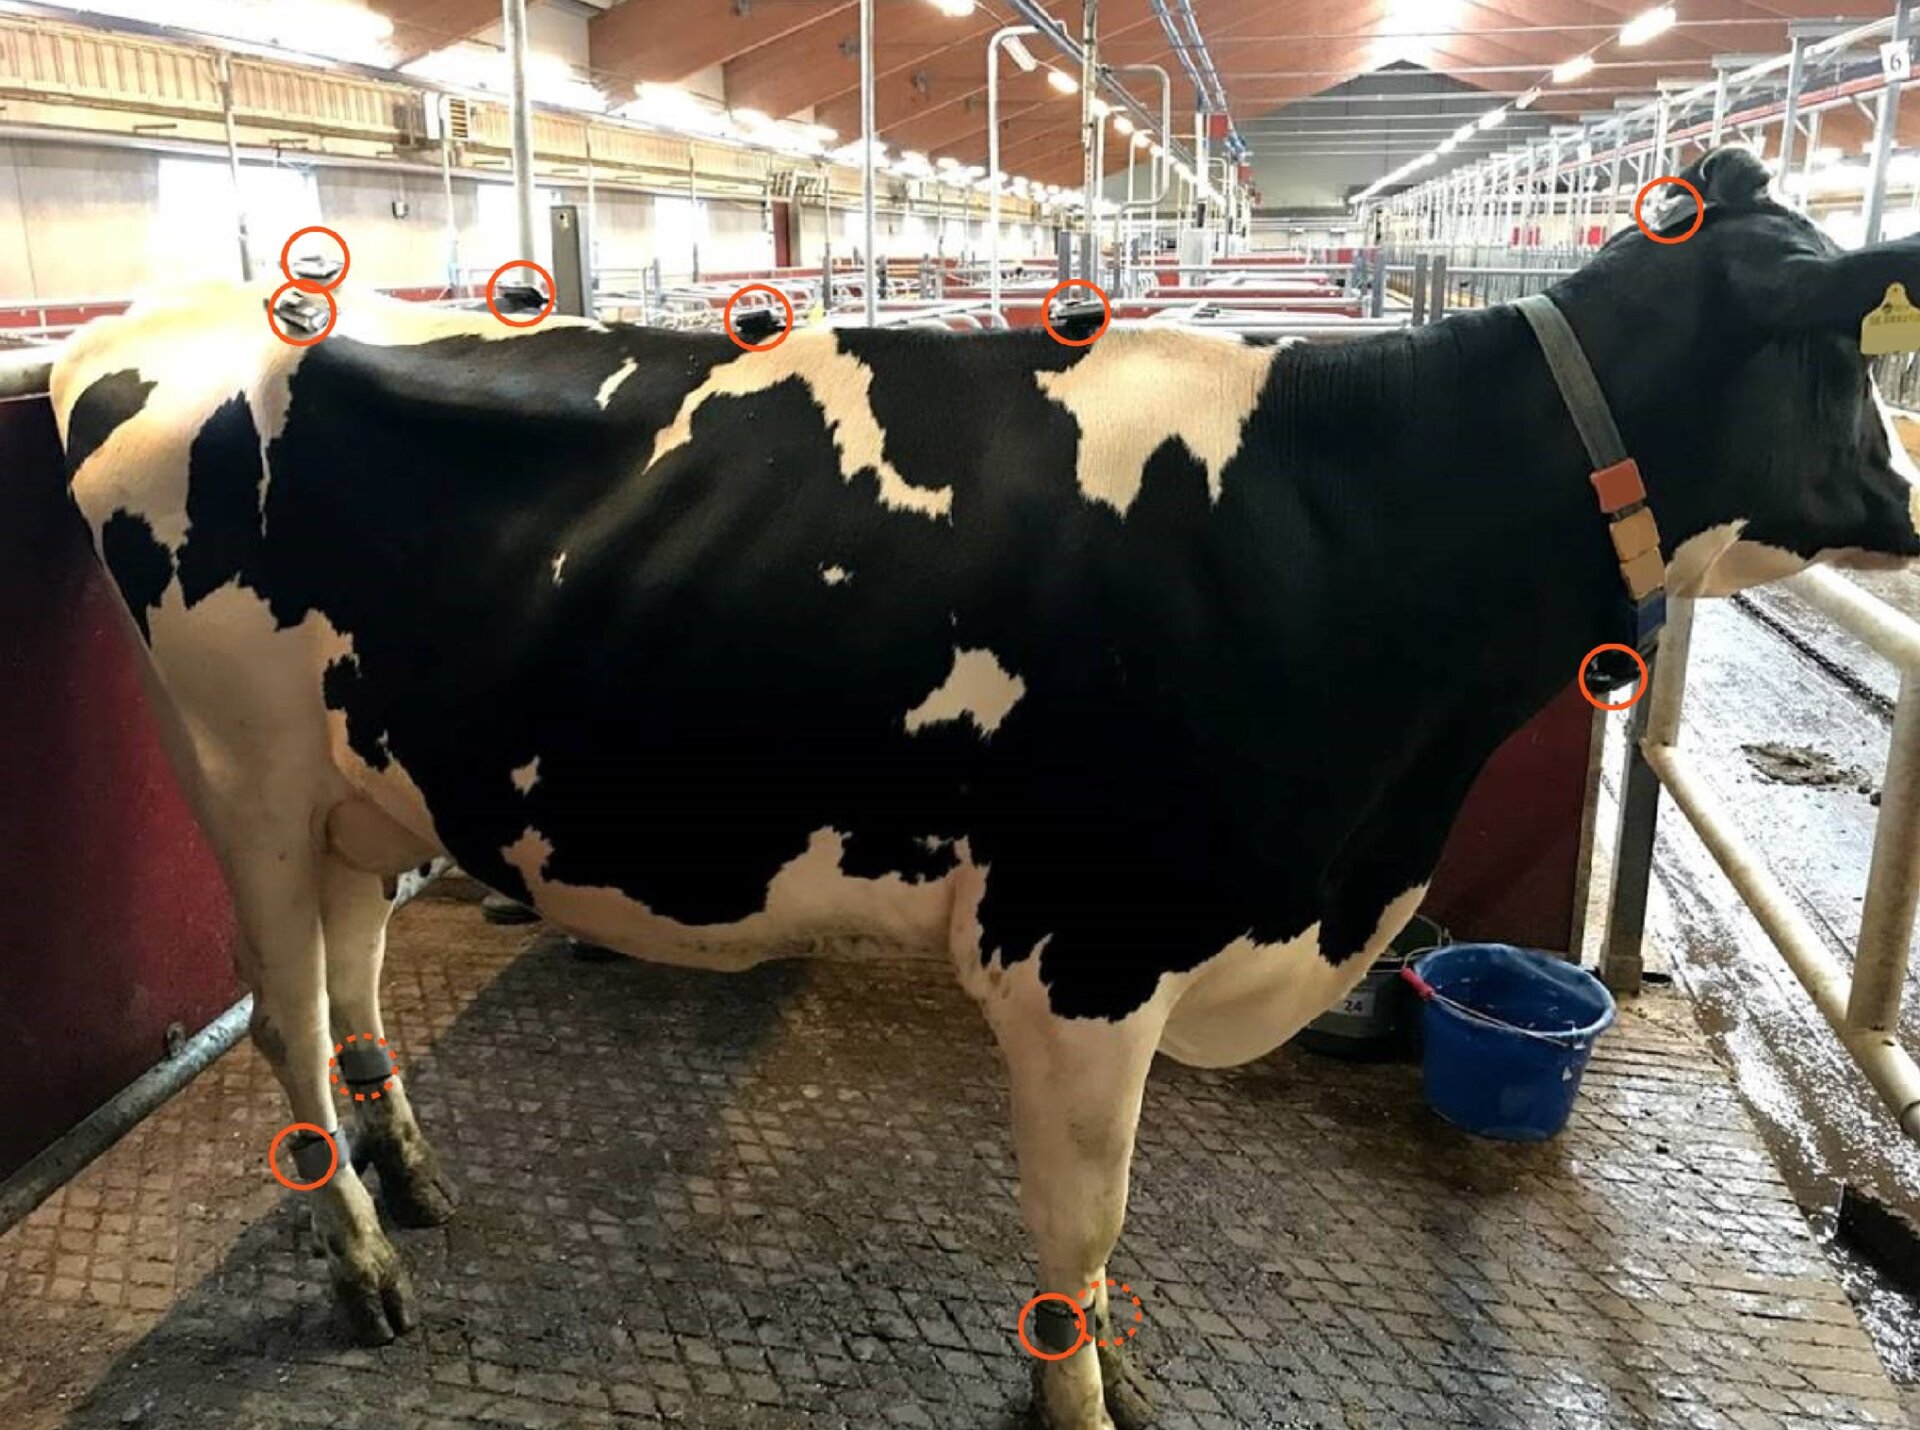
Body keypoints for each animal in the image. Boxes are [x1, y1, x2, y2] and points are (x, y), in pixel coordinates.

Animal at [47, 148, 1920, 1429]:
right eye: (1854, 351)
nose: (1908, 508)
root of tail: (174, 327)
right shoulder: (1086, 948)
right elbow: (1082, 1224)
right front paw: (1078, 1395)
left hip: (363, 785)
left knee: (353, 972)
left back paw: (414, 1168)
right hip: (242, 777)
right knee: (287, 1011)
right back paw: (362, 1257)